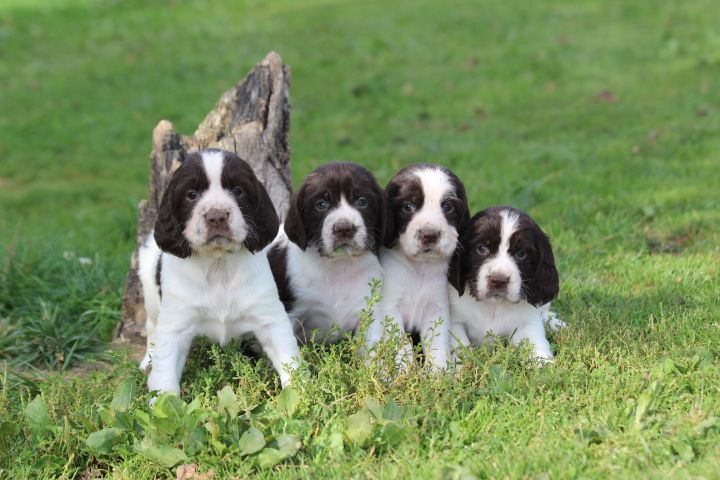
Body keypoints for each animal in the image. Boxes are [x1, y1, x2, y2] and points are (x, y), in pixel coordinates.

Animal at [139, 148, 300, 396]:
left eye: (238, 191)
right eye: (191, 194)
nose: (216, 216)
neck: (218, 265)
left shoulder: (269, 317)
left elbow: (288, 358)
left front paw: (303, 392)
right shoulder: (175, 325)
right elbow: (165, 369)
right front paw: (162, 400)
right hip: (151, 297)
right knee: (151, 328)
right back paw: (147, 360)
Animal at [264, 163, 390, 346]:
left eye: (362, 202)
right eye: (321, 204)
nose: (344, 228)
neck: (338, 265)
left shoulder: (368, 310)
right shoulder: (291, 311)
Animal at [380, 163, 470, 370]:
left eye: (447, 207)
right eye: (408, 206)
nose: (429, 234)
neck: (420, 268)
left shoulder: (437, 310)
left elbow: (437, 345)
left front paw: (439, 373)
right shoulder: (391, 308)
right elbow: (401, 345)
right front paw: (404, 372)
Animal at [450, 204, 564, 362]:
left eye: (521, 253)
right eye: (482, 248)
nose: (498, 280)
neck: (494, 305)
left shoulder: (528, 323)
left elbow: (537, 345)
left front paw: (545, 365)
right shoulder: (454, 321)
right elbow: (459, 344)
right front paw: (460, 365)